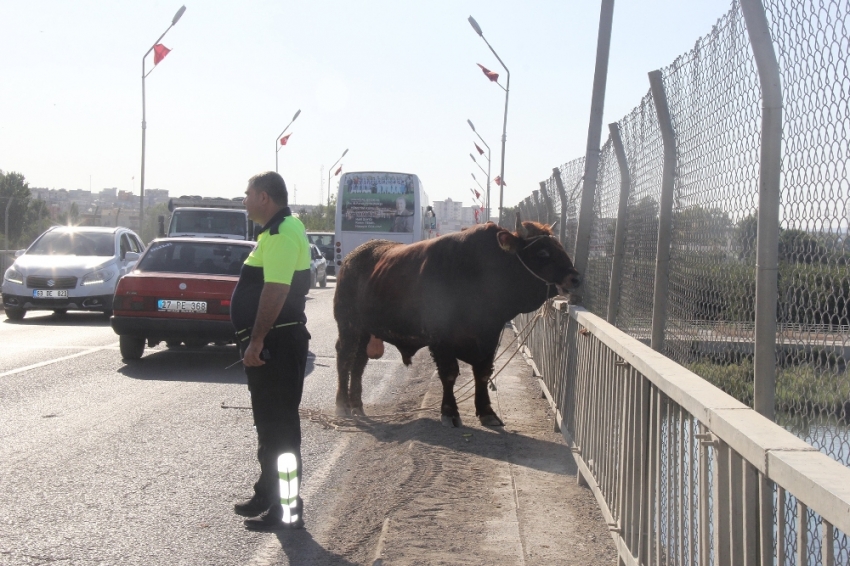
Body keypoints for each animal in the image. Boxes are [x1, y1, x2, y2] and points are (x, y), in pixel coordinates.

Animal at [330, 215, 576, 428]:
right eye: (542, 252)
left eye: (560, 247)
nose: (576, 278)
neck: (480, 272)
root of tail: (352, 257)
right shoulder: (442, 340)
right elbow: (449, 374)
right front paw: (450, 412)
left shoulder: (489, 337)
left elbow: (483, 373)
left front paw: (487, 412)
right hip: (348, 326)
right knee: (345, 359)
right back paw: (342, 406)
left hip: (365, 331)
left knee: (359, 364)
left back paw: (357, 405)